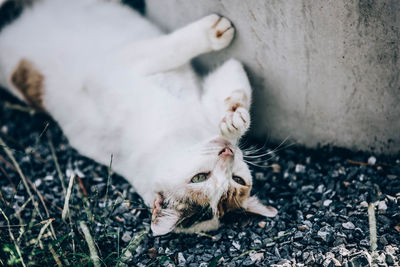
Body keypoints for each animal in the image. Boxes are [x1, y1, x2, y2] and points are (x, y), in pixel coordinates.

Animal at [0, 0, 276, 237]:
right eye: (199, 178)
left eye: (237, 179)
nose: (227, 151)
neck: (184, 134)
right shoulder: (125, 63)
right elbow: (174, 50)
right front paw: (213, 34)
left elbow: (234, 82)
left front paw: (233, 119)